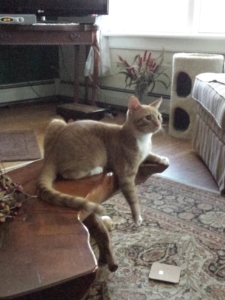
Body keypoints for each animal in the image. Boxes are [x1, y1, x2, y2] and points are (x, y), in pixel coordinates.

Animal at [37, 96, 169, 225]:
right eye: (148, 117)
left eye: (159, 117)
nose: (158, 124)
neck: (143, 139)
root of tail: (51, 154)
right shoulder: (126, 175)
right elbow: (132, 198)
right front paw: (137, 217)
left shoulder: (145, 154)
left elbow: (150, 154)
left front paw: (162, 158)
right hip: (97, 153)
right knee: (67, 174)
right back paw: (96, 170)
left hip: (56, 122)